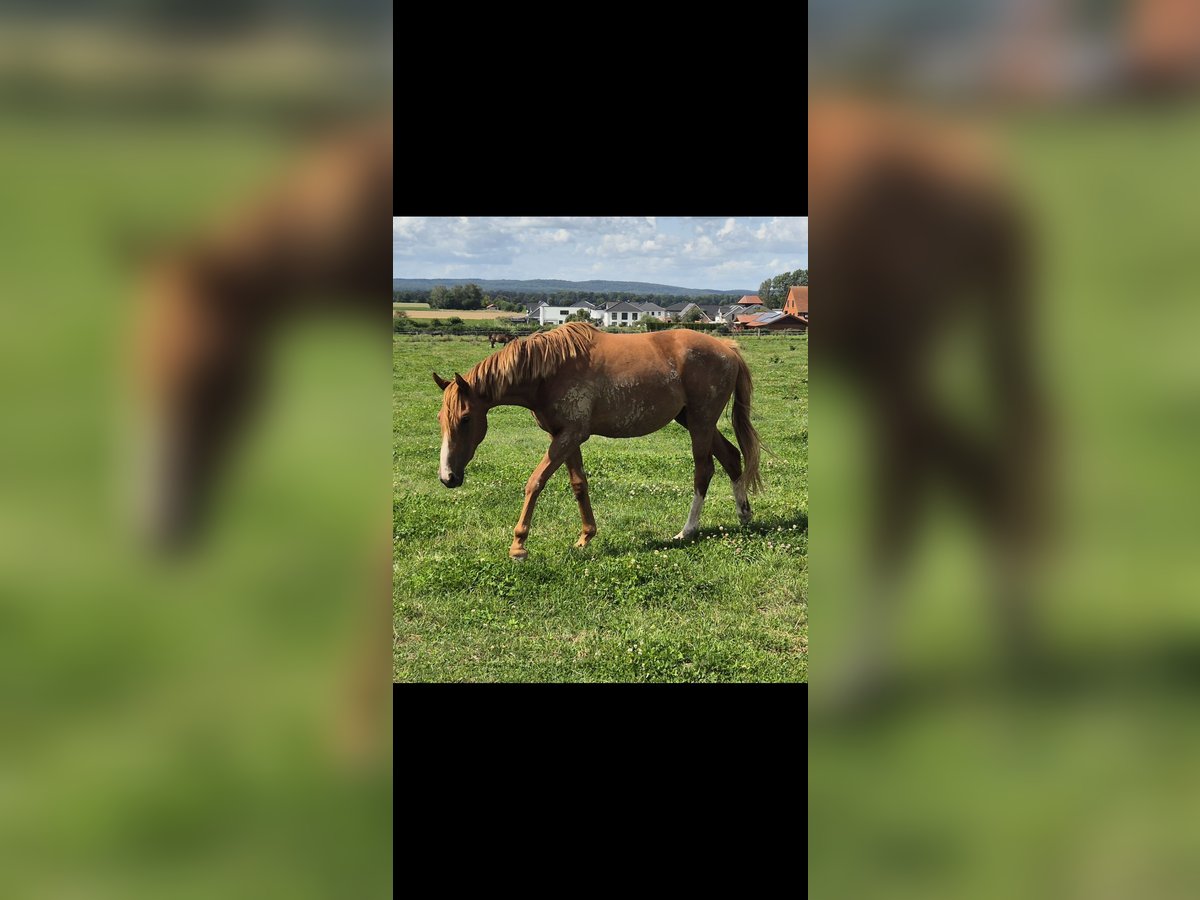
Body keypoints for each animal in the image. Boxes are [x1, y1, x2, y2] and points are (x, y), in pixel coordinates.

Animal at [434, 321, 758, 561]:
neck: (549, 371)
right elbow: (579, 484)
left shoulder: (570, 435)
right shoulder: (564, 435)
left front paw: (518, 546)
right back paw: (743, 515)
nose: (448, 477)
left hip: (701, 422)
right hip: (693, 420)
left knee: (703, 471)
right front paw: (586, 536)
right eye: (440, 418)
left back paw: (687, 530)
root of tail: (728, 349)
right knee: (731, 458)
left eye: (465, 418)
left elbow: (535, 482)